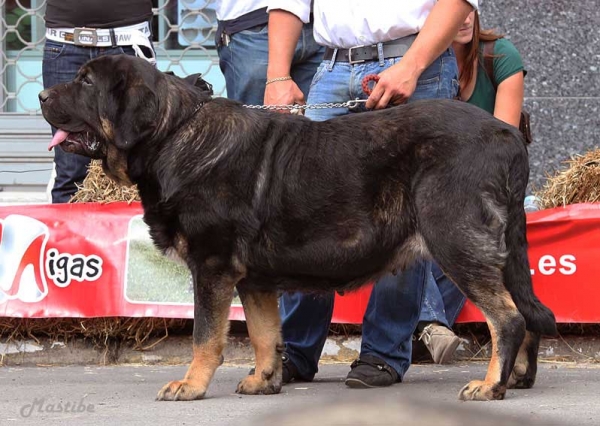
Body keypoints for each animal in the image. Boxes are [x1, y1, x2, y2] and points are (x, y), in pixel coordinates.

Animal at [39, 55, 556, 402]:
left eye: (86, 82)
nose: (42, 96)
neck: (174, 134)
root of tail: (508, 134)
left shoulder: (212, 266)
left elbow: (206, 335)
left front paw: (191, 384)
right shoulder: (253, 279)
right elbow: (266, 334)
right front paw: (265, 379)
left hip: (455, 241)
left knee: (507, 317)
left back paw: (490, 385)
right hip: (500, 252)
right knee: (527, 311)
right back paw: (518, 378)